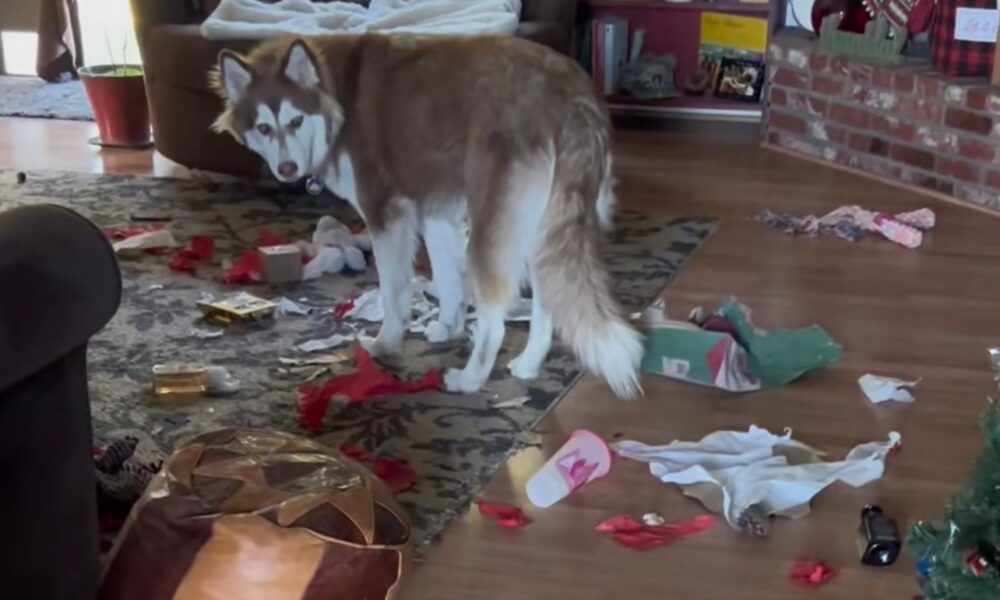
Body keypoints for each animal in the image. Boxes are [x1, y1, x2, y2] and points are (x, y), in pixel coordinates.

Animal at [215, 32, 644, 398]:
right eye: (263, 127)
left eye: (296, 120)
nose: (286, 169)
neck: (336, 94)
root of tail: (569, 95)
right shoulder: (436, 213)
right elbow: (448, 280)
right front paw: (448, 327)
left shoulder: (386, 213)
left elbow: (394, 292)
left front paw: (385, 343)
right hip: (545, 228)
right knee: (547, 303)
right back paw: (527, 364)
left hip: (493, 228)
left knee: (494, 318)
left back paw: (470, 379)